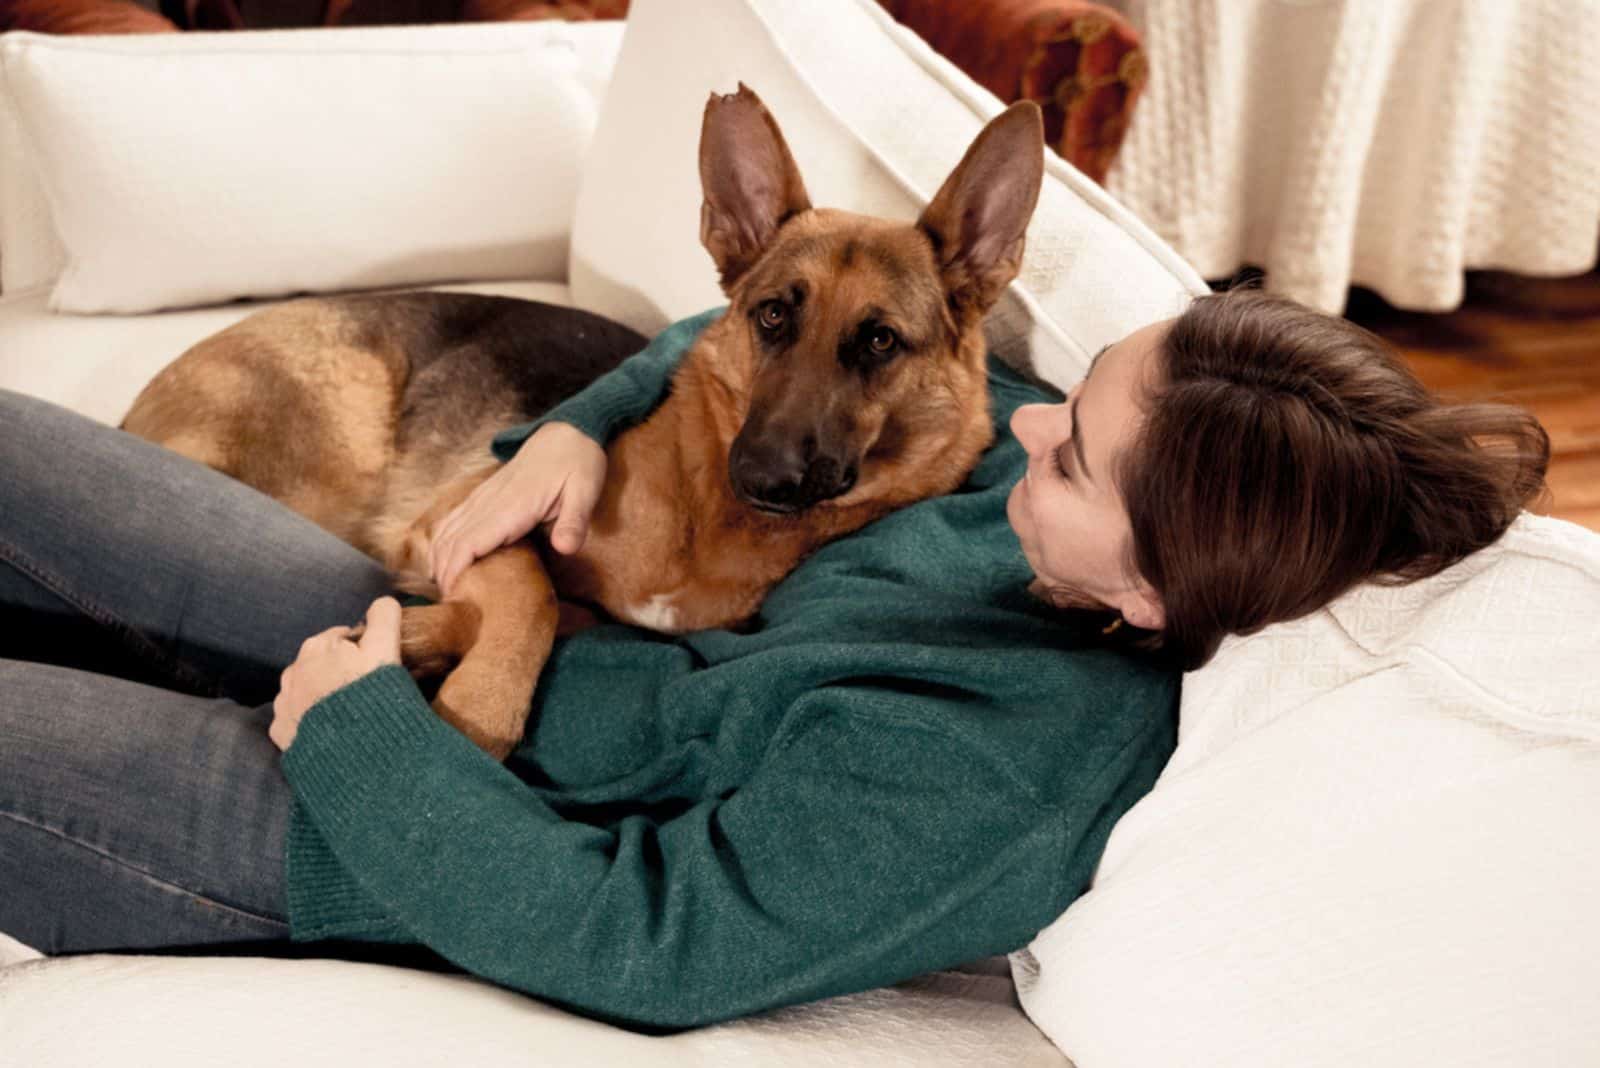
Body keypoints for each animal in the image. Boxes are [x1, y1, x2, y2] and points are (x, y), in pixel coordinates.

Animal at [124, 89, 1049, 757]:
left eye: (880, 341)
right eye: (773, 316)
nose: (761, 474)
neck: (709, 522)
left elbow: (540, 611)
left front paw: (413, 643)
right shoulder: (461, 521)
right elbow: (532, 596)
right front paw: (474, 715)